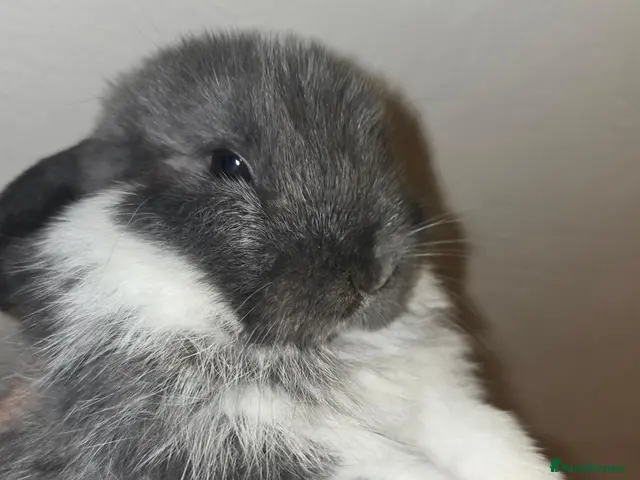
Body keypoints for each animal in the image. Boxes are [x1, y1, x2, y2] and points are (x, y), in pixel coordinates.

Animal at [0, 31, 563, 480]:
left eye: (382, 152)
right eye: (227, 164)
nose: (374, 274)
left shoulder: (440, 403)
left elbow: (490, 437)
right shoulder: (253, 443)